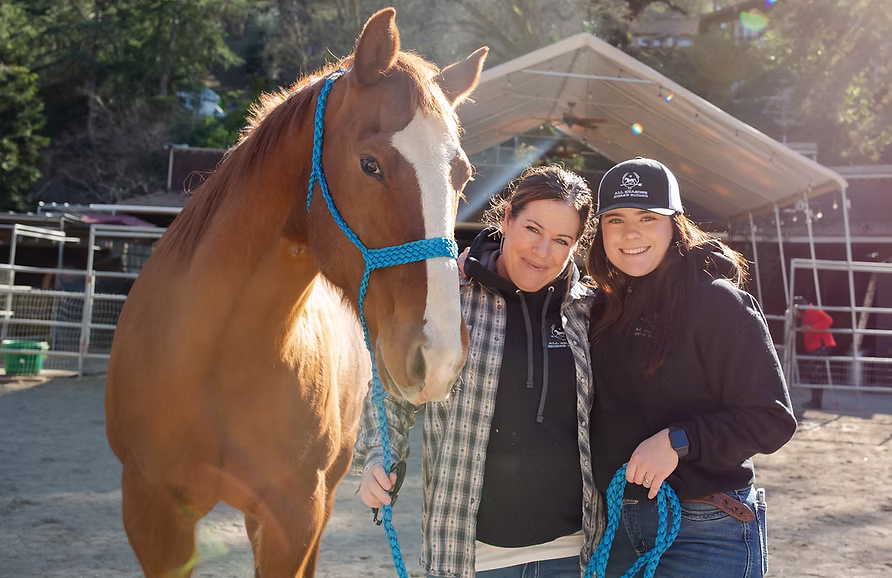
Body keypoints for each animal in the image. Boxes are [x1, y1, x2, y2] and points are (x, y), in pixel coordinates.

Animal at [104, 8, 487, 577]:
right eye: (370, 164)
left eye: (462, 175)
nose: (439, 357)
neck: (214, 360)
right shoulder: (151, 512)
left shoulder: (295, 514)